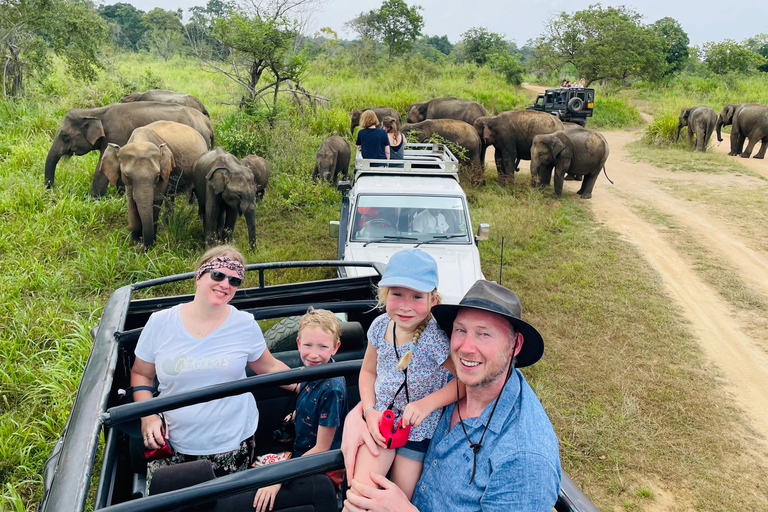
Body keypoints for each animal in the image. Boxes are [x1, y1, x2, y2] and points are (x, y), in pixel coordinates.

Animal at [45, 101, 214, 196]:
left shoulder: (116, 136)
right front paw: (120, 196)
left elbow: (102, 170)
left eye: (64, 136)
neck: (94, 112)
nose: (51, 190)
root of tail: (208, 125)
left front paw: (92, 200)